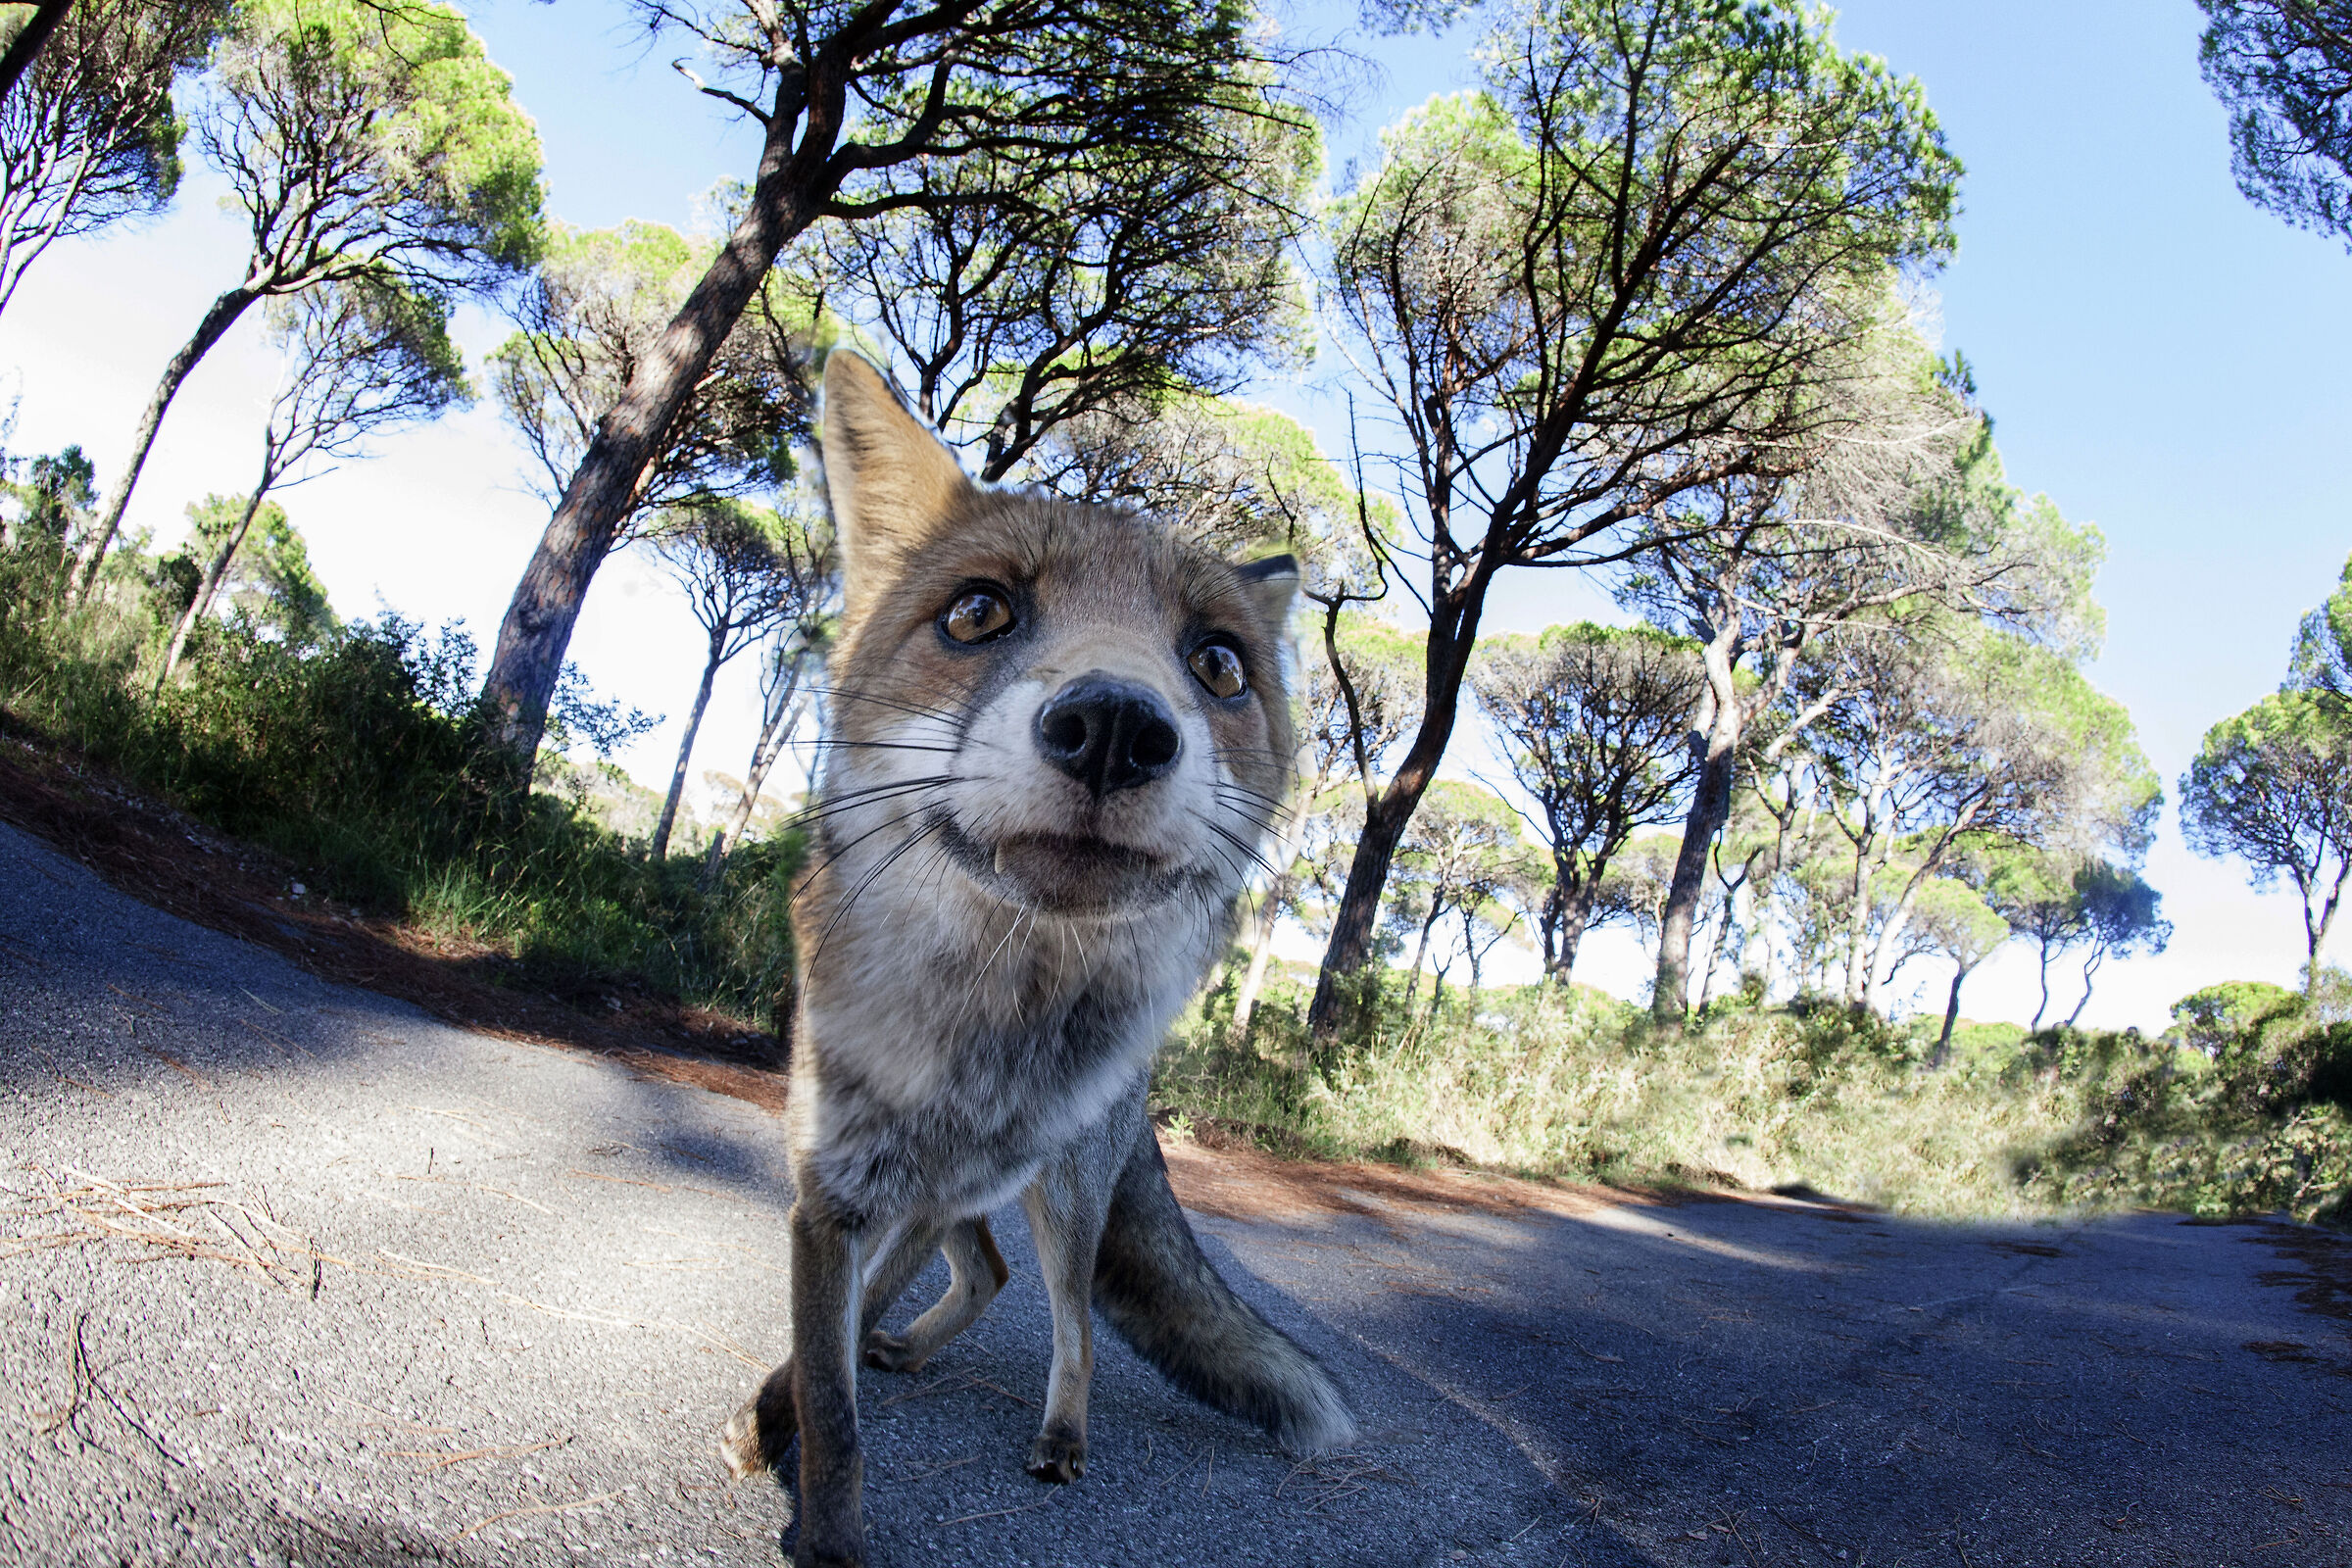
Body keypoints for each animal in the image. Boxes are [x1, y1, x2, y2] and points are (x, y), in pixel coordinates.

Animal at [715, 351, 1356, 1566]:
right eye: (978, 609)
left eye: (1219, 663)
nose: (1114, 725)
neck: (979, 1048)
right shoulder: (837, 1191)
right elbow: (832, 1390)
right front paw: (793, 1445)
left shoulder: (928, 1192)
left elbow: (844, 1364)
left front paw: (810, 1497)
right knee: (990, 1271)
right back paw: (913, 1350)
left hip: (1061, 1197)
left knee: (1064, 1315)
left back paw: (1059, 1432)